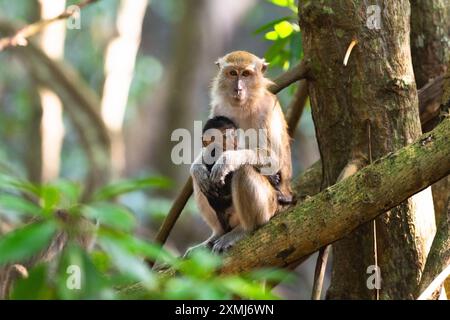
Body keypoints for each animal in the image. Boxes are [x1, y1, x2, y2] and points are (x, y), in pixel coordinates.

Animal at [188, 50, 294, 255]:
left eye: (245, 74)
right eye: (232, 73)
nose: (238, 89)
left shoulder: (268, 110)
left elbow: (274, 159)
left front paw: (227, 160)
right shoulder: (219, 108)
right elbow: (204, 157)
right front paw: (197, 167)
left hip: (272, 205)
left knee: (244, 170)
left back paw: (245, 230)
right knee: (201, 180)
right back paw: (217, 233)